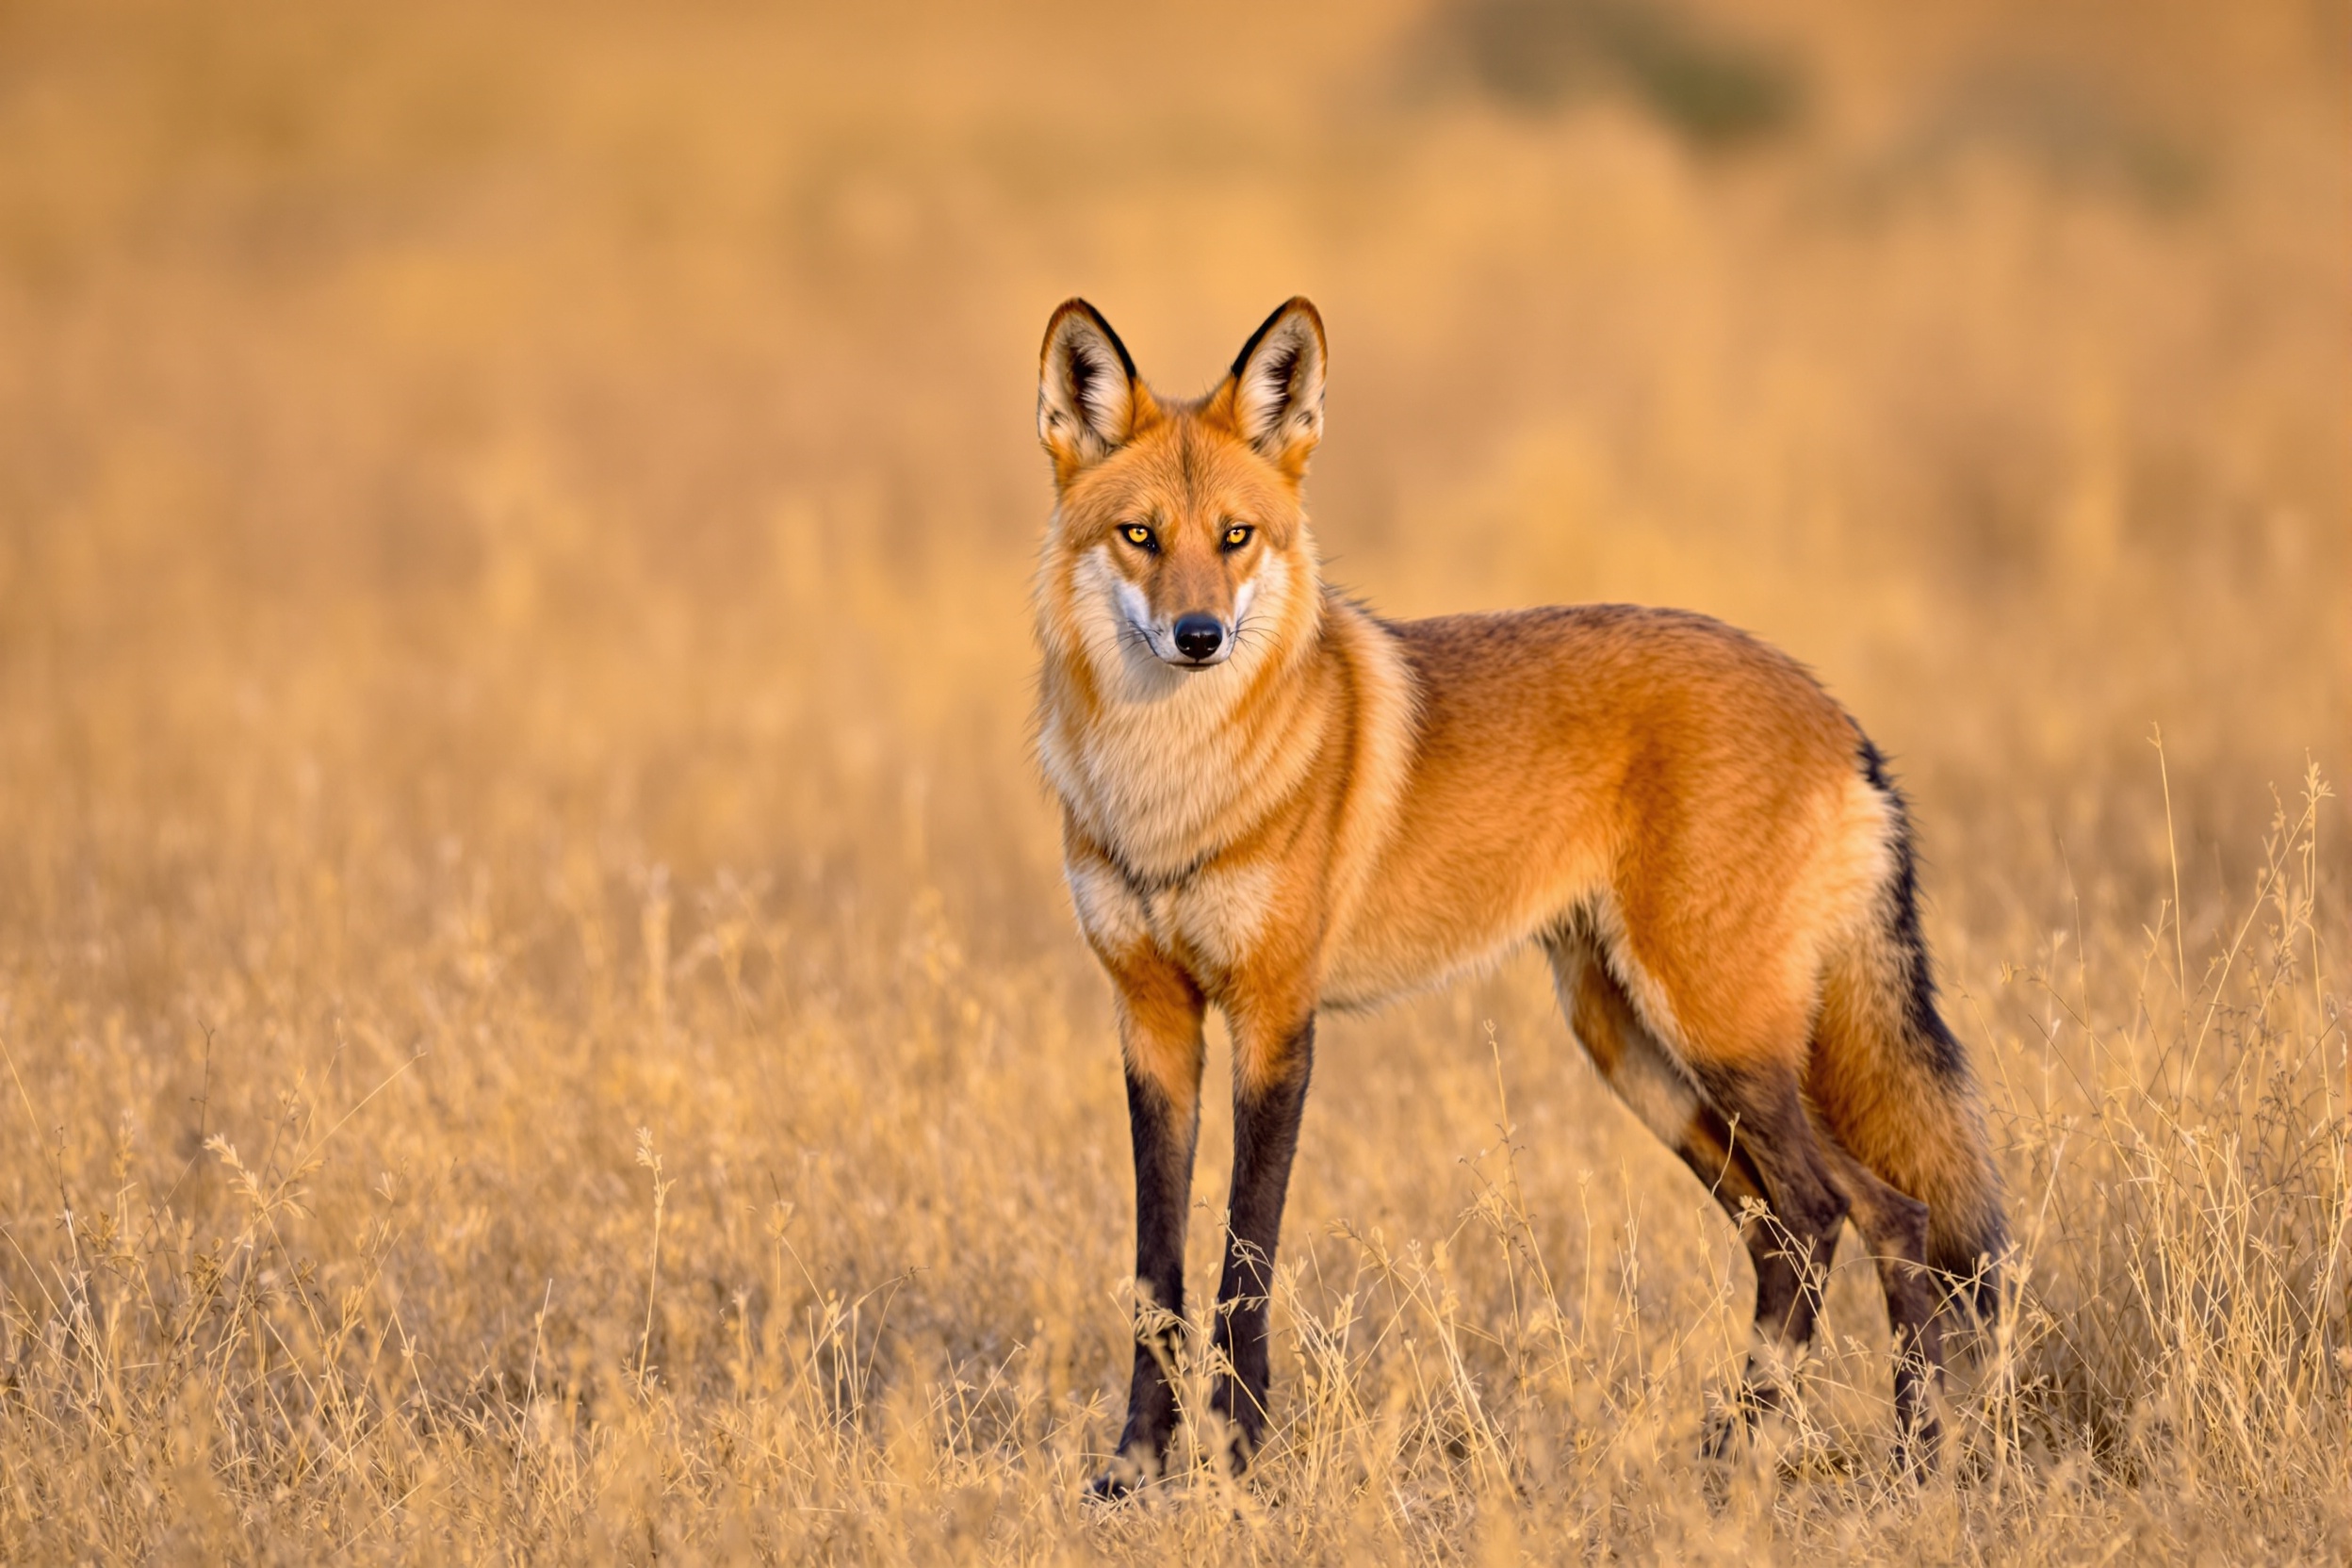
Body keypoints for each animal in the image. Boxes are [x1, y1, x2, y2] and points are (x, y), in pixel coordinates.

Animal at [1031, 297, 2006, 1495]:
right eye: (1140, 536)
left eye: (1235, 538)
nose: (1199, 636)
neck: (1170, 800)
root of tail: (1840, 715)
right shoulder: (1152, 1019)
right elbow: (1155, 1275)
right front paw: (1133, 1467)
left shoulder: (1276, 1018)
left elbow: (1245, 1262)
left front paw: (1247, 1456)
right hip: (1639, 1054)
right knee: (1815, 1228)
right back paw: (1768, 1449)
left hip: (1721, 1039)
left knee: (1861, 1211)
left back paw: (1897, 1455)